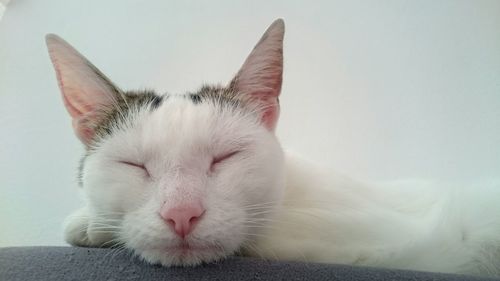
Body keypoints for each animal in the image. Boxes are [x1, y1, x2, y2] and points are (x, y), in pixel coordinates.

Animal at [46, 19, 500, 276]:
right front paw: (93, 221)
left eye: (225, 157)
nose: (181, 214)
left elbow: (262, 231)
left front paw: (88, 223)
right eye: (133, 165)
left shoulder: (393, 233)